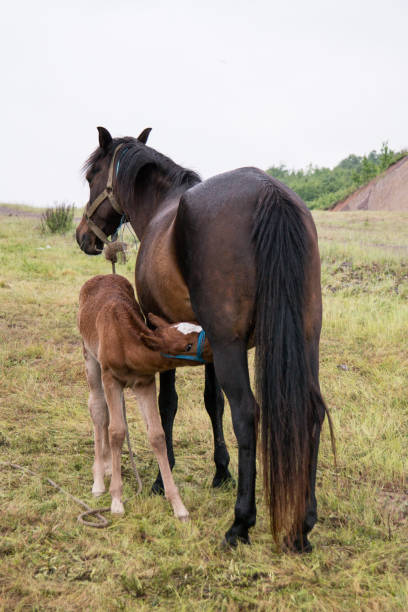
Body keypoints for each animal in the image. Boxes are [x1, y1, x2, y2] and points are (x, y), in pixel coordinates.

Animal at [77, 274, 210, 520]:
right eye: (187, 346)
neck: (126, 344)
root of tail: (103, 275)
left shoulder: (145, 382)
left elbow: (157, 435)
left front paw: (178, 506)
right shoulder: (111, 378)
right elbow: (117, 432)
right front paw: (116, 501)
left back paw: (108, 466)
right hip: (90, 357)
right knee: (98, 409)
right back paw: (98, 481)